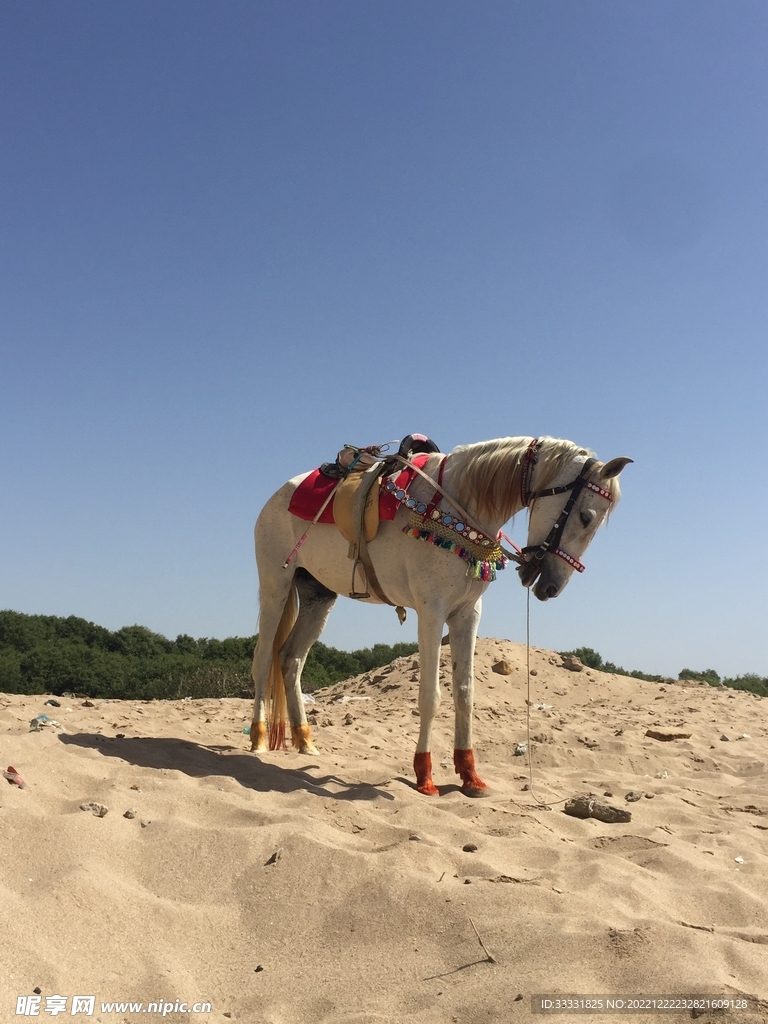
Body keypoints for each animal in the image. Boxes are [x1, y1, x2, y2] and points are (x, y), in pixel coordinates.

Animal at [249, 436, 631, 796]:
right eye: (586, 517)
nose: (551, 585)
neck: (458, 504)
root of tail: (275, 498)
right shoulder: (431, 612)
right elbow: (430, 697)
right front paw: (425, 776)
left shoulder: (467, 615)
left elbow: (465, 695)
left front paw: (470, 775)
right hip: (275, 586)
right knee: (264, 660)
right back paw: (258, 738)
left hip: (319, 596)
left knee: (291, 660)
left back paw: (305, 741)